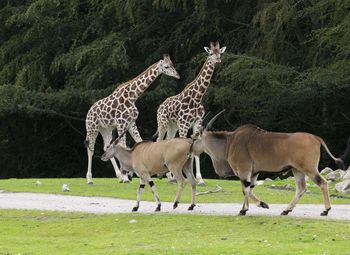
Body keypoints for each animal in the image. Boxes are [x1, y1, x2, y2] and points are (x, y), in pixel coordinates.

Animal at [83, 54, 179, 184]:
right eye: (166, 66)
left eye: (172, 64)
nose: (177, 75)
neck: (132, 96)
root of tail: (88, 112)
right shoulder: (121, 122)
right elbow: (123, 145)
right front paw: (126, 176)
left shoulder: (131, 123)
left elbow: (139, 141)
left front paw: (131, 174)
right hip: (92, 128)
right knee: (90, 148)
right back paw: (89, 179)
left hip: (106, 128)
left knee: (106, 145)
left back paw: (118, 175)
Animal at [157, 41, 227, 185]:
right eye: (211, 53)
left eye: (220, 53)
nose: (218, 60)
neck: (197, 97)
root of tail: (160, 107)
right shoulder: (183, 124)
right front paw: (186, 176)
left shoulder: (197, 123)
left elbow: (196, 150)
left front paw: (199, 179)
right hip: (163, 123)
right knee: (159, 140)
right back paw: (162, 175)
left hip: (172, 126)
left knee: (167, 141)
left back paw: (169, 176)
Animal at [191, 110, 344, 216]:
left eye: (195, 137)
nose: (191, 149)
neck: (230, 142)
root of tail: (316, 138)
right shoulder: (254, 172)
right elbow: (250, 189)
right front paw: (262, 204)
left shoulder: (243, 170)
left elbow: (245, 189)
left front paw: (243, 210)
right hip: (297, 170)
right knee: (301, 188)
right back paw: (286, 210)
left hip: (309, 169)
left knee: (322, 183)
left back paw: (326, 210)